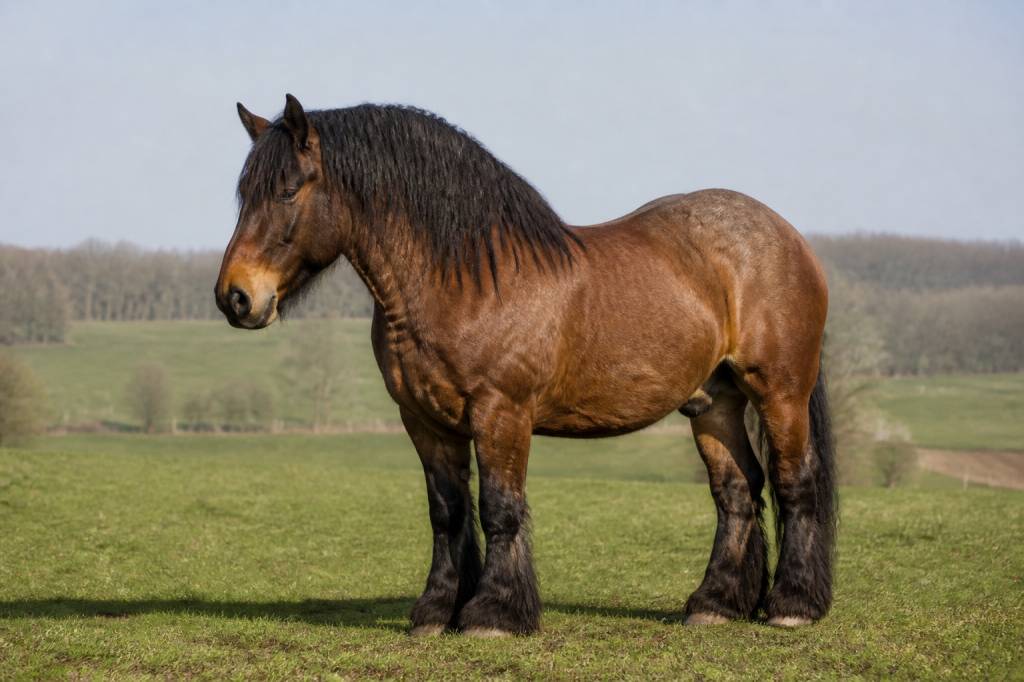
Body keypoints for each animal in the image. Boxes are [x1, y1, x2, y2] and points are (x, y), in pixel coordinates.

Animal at [215, 94, 836, 637]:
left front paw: (494, 614)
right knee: (737, 490)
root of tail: (786, 236)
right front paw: (437, 611)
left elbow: (499, 508)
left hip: (779, 393)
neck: (464, 280)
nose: (235, 298)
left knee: (794, 481)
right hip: (713, 403)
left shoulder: (501, 413)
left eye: (288, 190)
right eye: (243, 194)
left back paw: (792, 606)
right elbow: (448, 512)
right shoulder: (426, 421)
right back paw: (717, 604)